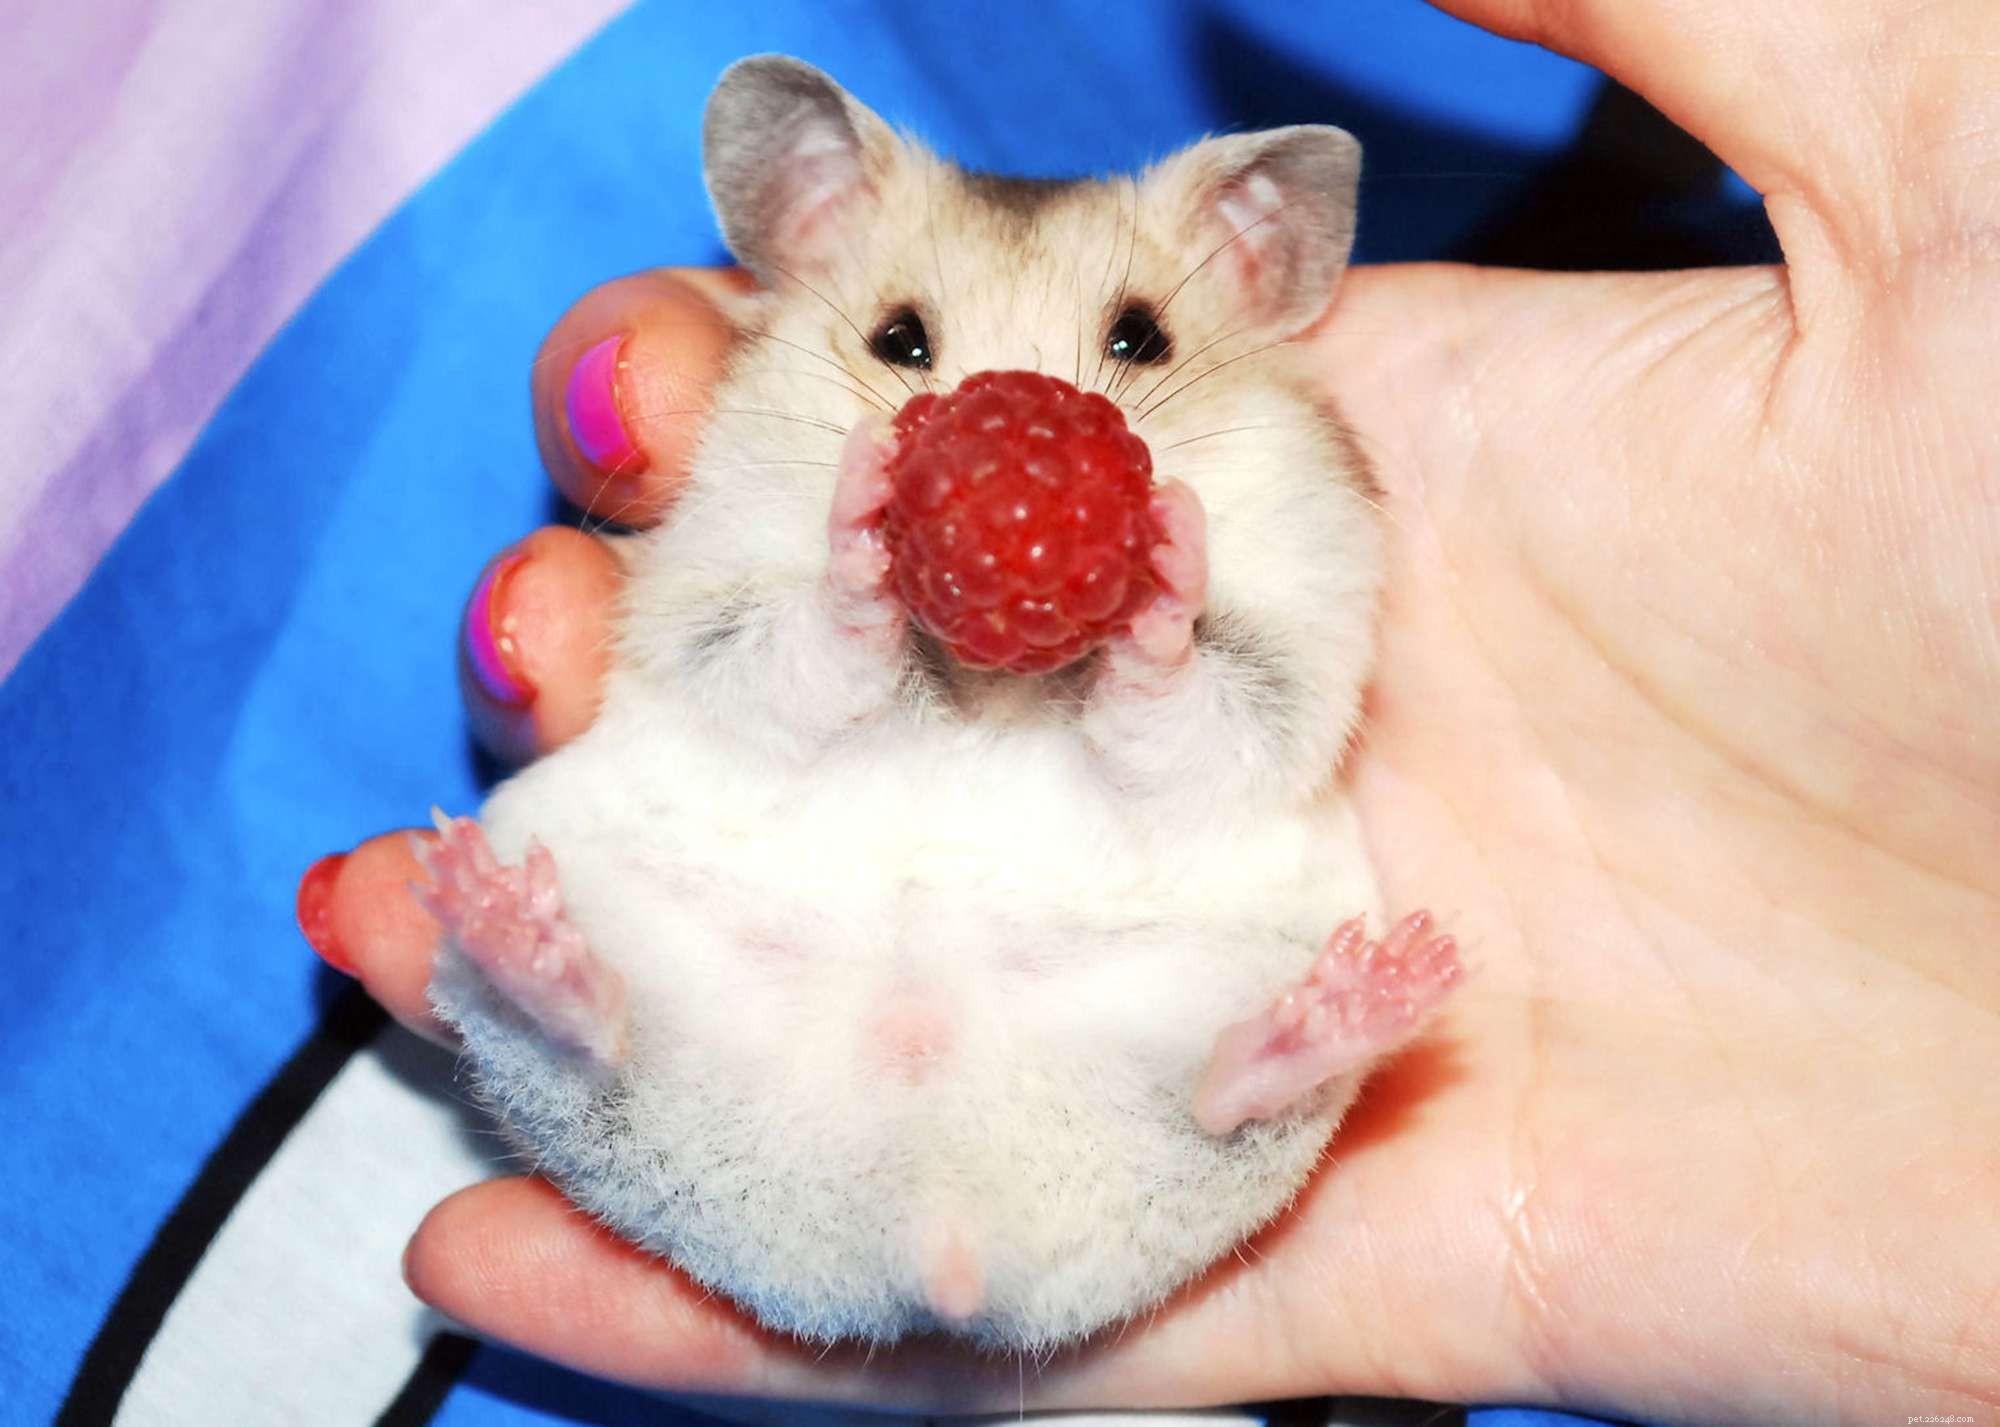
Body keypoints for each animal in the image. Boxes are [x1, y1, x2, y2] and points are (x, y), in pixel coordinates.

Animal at [417, 55, 1460, 1353]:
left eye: (1142, 336)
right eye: (897, 338)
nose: (1004, 421)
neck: (989, 677)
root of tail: (930, 1228)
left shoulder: (1293, 658)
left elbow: (1197, 705)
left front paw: (1166, 558)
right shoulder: (705, 609)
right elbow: (795, 644)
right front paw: (866, 520)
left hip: (1220, 997)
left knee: (1223, 1095)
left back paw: (1369, 992)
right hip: (593, 927)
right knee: (593, 1038)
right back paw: (503, 916)